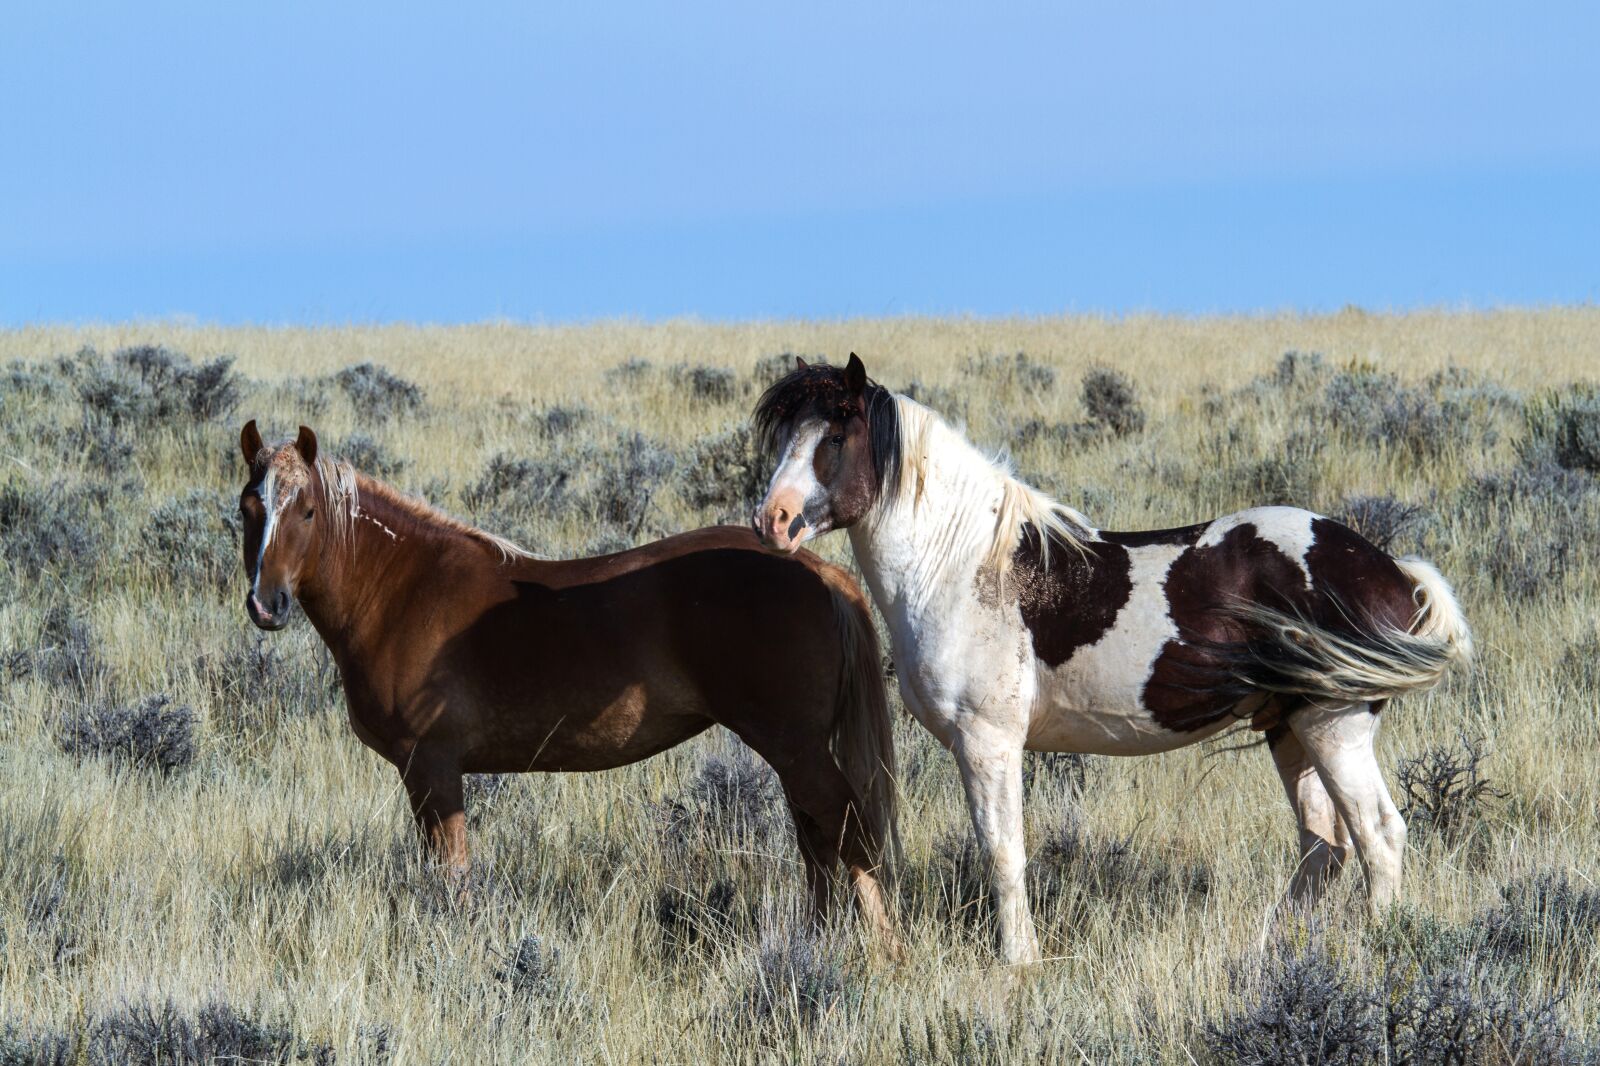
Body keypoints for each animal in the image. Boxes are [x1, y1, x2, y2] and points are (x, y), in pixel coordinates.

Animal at [235, 420, 900, 944]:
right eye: (248, 509)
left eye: (307, 510)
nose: (266, 605)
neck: (404, 589)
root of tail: (818, 570)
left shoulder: (432, 767)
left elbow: (453, 876)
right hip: (793, 752)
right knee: (819, 843)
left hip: (796, 748)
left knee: (850, 833)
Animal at [750, 355, 1472, 964]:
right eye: (785, 440)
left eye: (833, 438)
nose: (771, 521)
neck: (961, 564)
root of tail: (1389, 570)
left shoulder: (988, 741)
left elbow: (1004, 855)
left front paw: (1020, 963)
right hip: (1290, 728)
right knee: (1323, 845)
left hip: (1333, 724)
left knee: (1378, 836)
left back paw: (1378, 946)